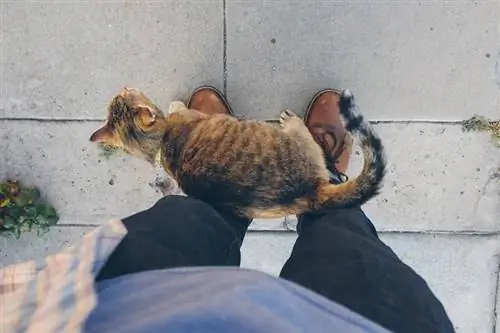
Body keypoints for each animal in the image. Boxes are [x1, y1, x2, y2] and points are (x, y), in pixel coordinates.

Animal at [90, 87, 386, 219]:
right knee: (303, 133)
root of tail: (310, 190)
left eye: (122, 95)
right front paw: (174, 104)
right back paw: (293, 121)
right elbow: (178, 108)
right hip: (302, 144)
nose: (124, 87)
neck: (160, 142)